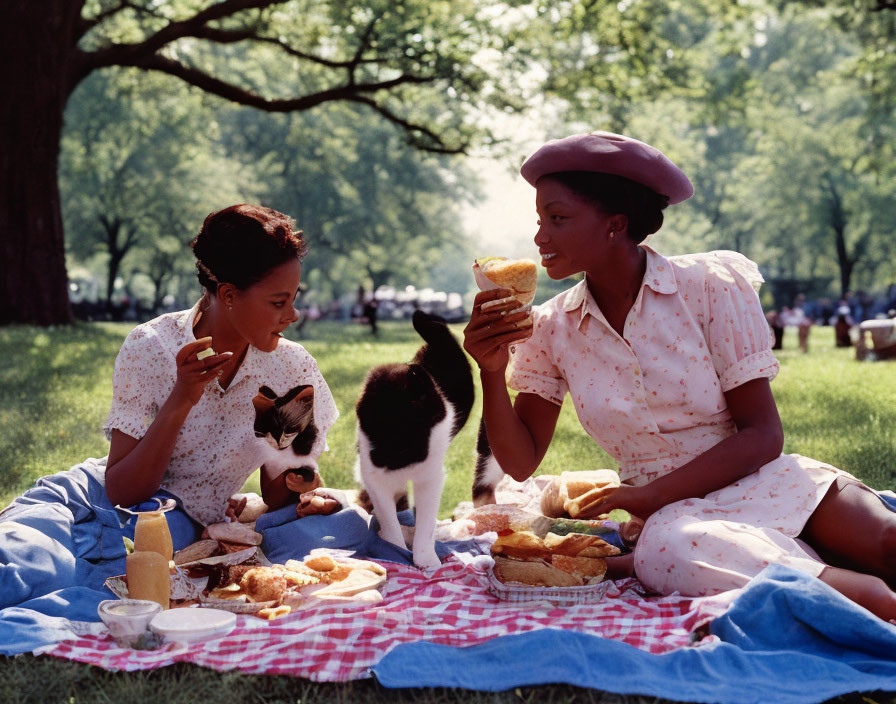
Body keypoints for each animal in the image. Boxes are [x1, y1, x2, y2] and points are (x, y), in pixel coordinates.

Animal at [356, 310, 476, 568]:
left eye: (402, 427)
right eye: (370, 427)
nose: (379, 458)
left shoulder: (430, 478)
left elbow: (426, 524)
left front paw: (426, 559)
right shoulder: (375, 478)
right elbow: (390, 521)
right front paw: (394, 550)